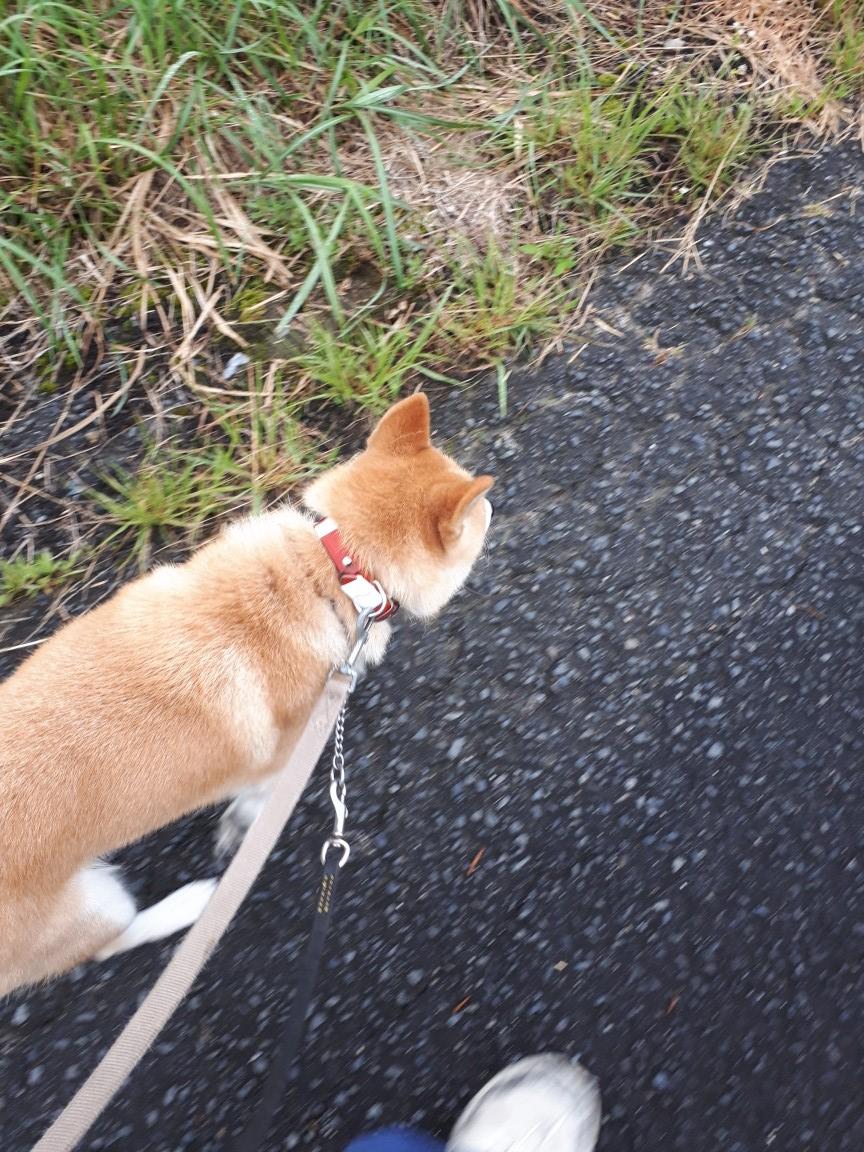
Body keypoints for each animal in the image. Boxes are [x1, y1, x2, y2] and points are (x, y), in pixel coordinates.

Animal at [0, 393, 493, 996]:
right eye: (482, 514)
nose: (496, 508)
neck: (336, 571)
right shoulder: (283, 756)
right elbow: (259, 796)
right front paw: (243, 823)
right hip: (93, 905)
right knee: (106, 944)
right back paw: (190, 906)